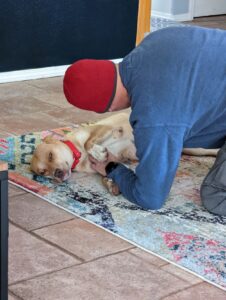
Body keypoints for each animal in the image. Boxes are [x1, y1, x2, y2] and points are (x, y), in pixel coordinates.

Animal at [30, 112, 219, 195]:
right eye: (43, 172)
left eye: (51, 155)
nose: (57, 174)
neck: (79, 156)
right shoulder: (111, 163)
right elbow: (111, 170)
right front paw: (111, 184)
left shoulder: (107, 128)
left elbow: (90, 143)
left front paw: (98, 151)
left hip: (198, 147)